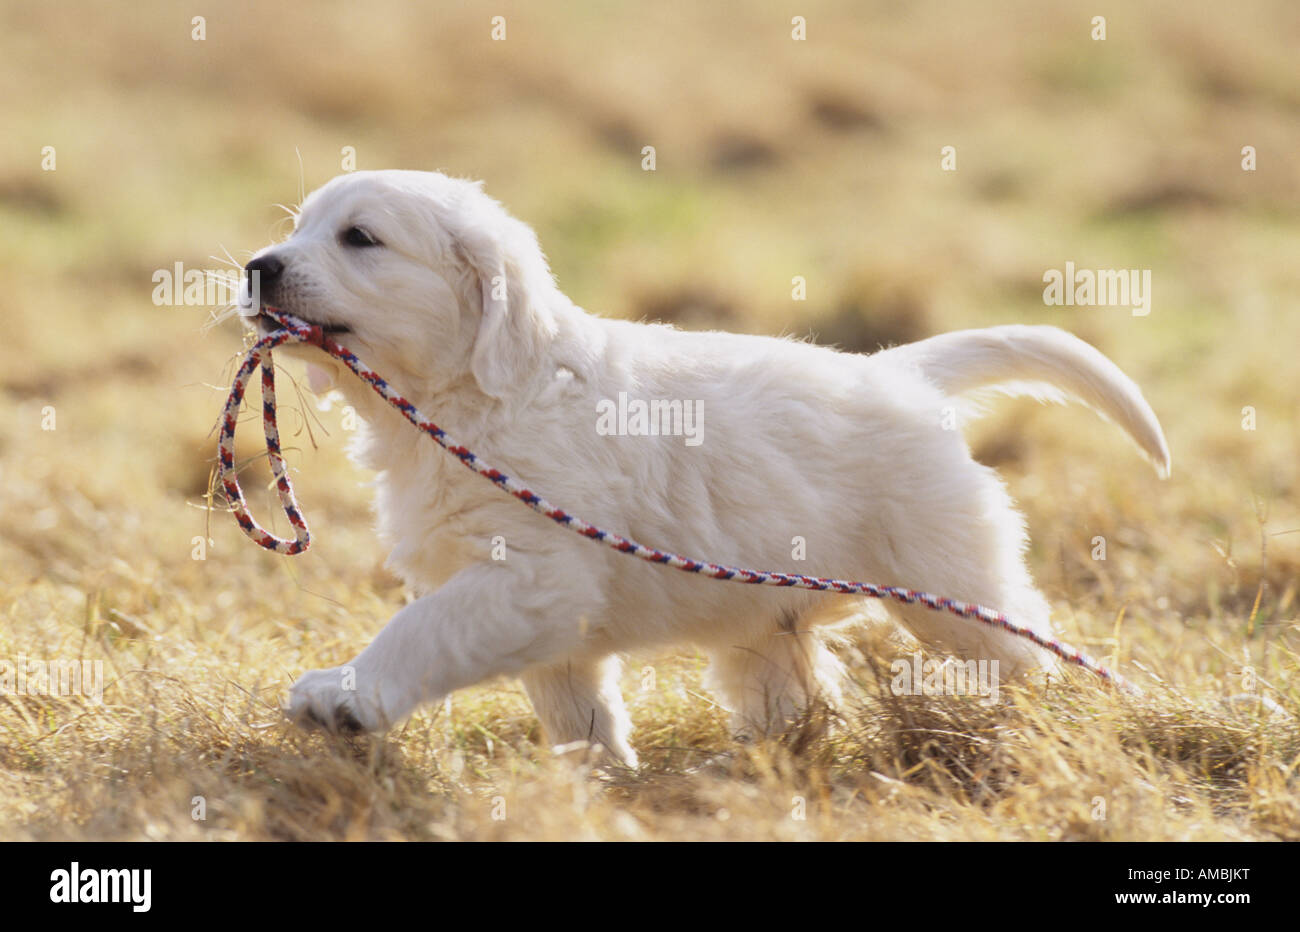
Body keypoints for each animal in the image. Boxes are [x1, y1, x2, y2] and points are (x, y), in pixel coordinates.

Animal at [239, 170, 1175, 769]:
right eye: (299, 226)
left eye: (360, 238)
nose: (258, 267)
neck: (472, 396)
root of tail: (901, 372)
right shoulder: (545, 616)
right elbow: (573, 706)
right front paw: (597, 779)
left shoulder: (531, 577)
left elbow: (419, 630)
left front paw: (343, 698)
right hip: (768, 617)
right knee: (797, 695)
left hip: (953, 584)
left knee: (1024, 652)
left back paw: (1043, 730)